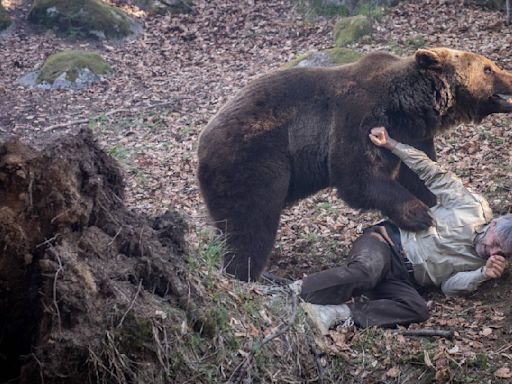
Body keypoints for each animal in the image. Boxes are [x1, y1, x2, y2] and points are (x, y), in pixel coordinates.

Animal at [198, 48, 512, 282]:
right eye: (488, 68)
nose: (509, 76)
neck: (406, 107)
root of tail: (202, 141)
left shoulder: (414, 134)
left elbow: (418, 173)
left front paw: (433, 204)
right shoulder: (357, 116)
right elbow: (358, 176)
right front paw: (421, 215)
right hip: (254, 159)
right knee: (251, 222)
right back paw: (245, 274)